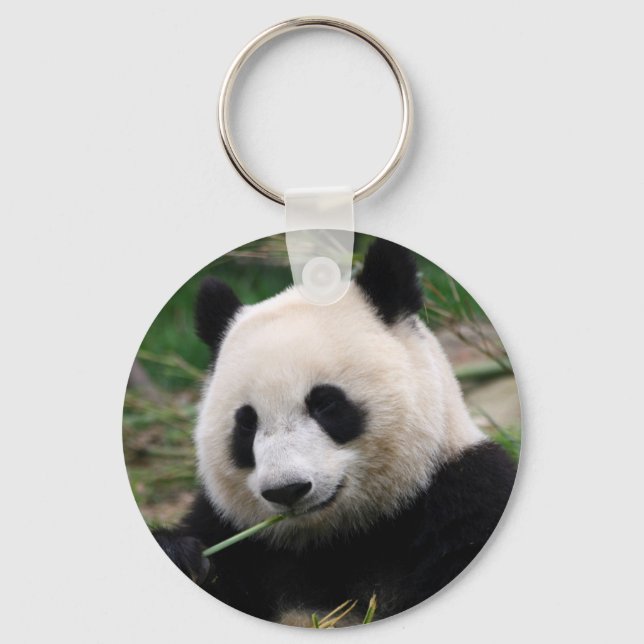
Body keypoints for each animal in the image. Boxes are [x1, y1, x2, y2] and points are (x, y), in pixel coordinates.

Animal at [152, 238, 517, 627]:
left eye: (325, 404)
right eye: (246, 422)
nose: (287, 490)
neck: (336, 540)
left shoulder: (464, 497)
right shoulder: (232, 531)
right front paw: (184, 557)